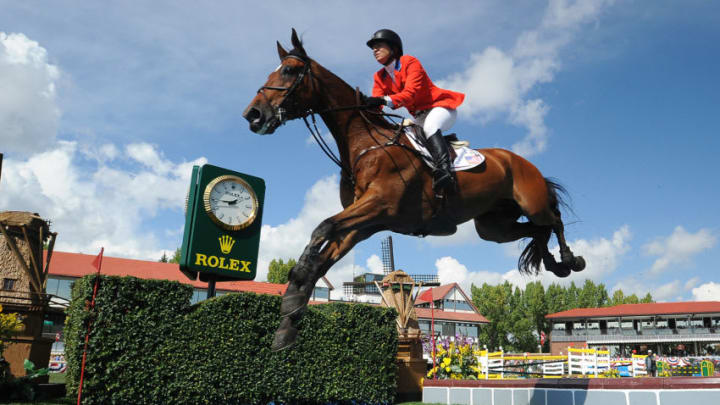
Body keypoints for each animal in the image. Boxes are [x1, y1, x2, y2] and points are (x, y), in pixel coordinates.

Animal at [242, 29, 584, 350]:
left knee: (553, 220)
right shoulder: (363, 224)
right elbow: (324, 254)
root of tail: (520, 161)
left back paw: (570, 260)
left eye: (289, 70)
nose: (253, 114)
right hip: (493, 227)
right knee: (535, 231)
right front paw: (289, 318)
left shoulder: (378, 206)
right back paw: (553, 263)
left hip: (532, 203)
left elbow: (321, 228)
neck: (365, 144)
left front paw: (296, 279)